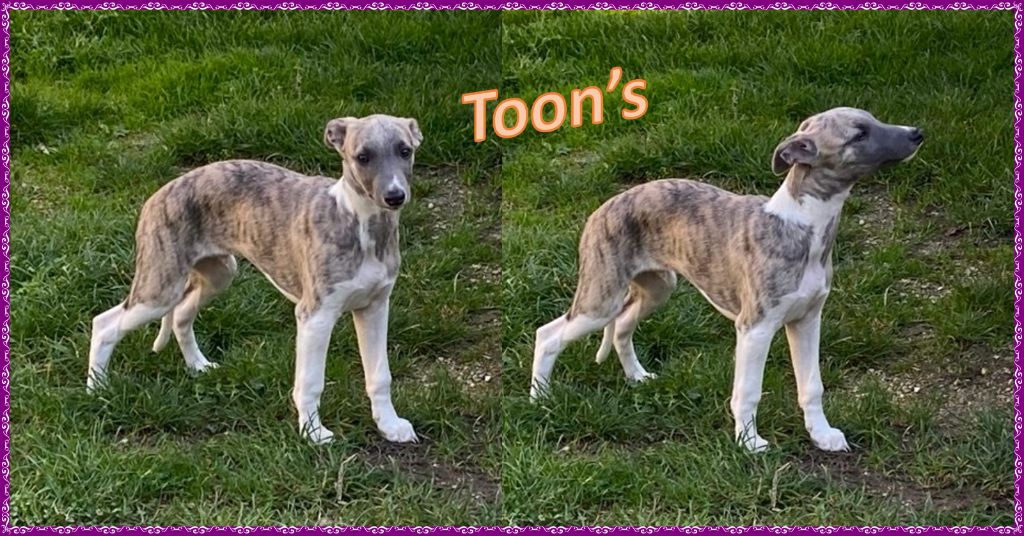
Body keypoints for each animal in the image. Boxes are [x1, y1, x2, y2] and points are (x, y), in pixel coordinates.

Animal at [87, 114, 423, 445]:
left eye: (405, 151)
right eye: (362, 157)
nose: (394, 197)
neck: (359, 222)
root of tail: (156, 196)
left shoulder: (375, 306)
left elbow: (380, 375)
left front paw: (389, 426)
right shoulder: (315, 315)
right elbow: (310, 382)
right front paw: (313, 432)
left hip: (219, 273)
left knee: (181, 314)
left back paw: (199, 366)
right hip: (159, 289)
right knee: (104, 324)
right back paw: (97, 390)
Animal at [530, 107, 923, 452]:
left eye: (872, 119)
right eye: (859, 133)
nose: (917, 133)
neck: (803, 226)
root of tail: (600, 209)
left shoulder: (807, 319)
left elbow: (812, 386)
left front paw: (822, 436)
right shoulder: (755, 328)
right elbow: (747, 392)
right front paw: (749, 443)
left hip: (658, 287)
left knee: (623, 325)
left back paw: (637, 377)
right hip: (600, 300)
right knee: (548, 335)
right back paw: (540, 399)